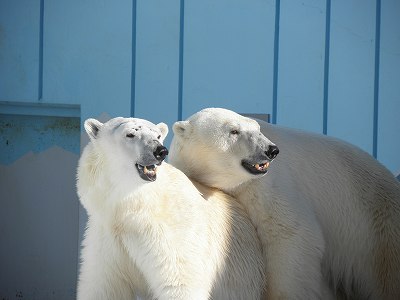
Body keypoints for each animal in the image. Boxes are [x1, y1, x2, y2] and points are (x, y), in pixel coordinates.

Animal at [77, 116, 268, 300]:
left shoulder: (171, 234)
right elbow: (103, 286)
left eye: (158, 135)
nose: (160, 151)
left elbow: (178, 282)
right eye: (130, 134)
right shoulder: (106, 236)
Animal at [169, 106, 400, 298]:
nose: (271, 150)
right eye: (234, 131)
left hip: (377, 222)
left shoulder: (269, 186)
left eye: (257, 128)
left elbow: (291, 234)